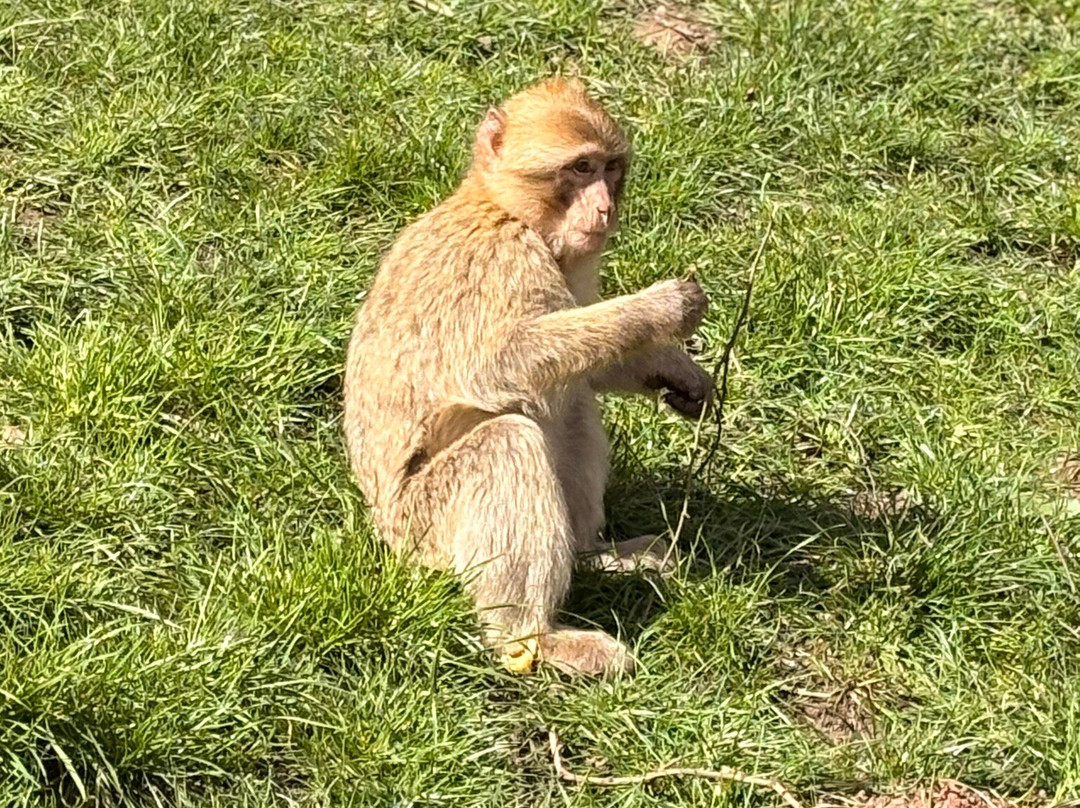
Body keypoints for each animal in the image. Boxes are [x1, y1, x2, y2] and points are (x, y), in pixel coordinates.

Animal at [343, 78, 714, 677]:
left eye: (610, 168)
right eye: (580, 168)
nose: (605, 207)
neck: (504, 207)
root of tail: (385, 534)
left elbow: (587, 367)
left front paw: (679, 371)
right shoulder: (500, 260)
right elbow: (498, 363)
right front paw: (660, 309)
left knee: (573, 407)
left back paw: (592, 557)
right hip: (425, 530)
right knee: (508, 439)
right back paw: (530, 637)